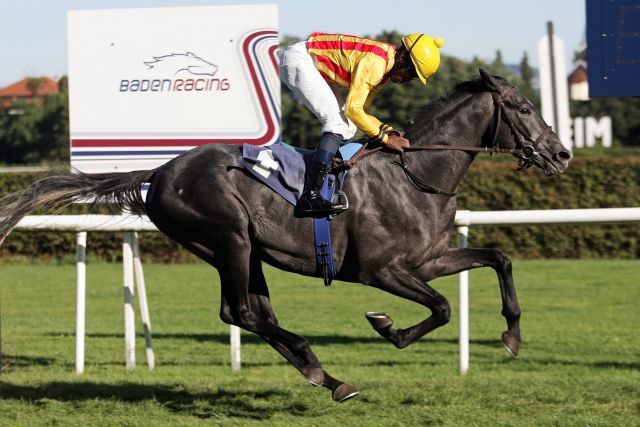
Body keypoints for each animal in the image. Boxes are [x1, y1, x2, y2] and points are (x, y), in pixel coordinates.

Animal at [0, 70, 568, 402]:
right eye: (522, 108)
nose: (561, 154)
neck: (416, 174)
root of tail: (159, 172)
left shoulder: (427, 260)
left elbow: (498, 257)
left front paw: (512, 335)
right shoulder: (381, 270)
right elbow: (443, 308)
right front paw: (387, 326)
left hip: (241, 249)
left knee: (249, 313)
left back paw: (326, 375)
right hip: (230, 237)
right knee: (244, 313)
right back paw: (318, 367)